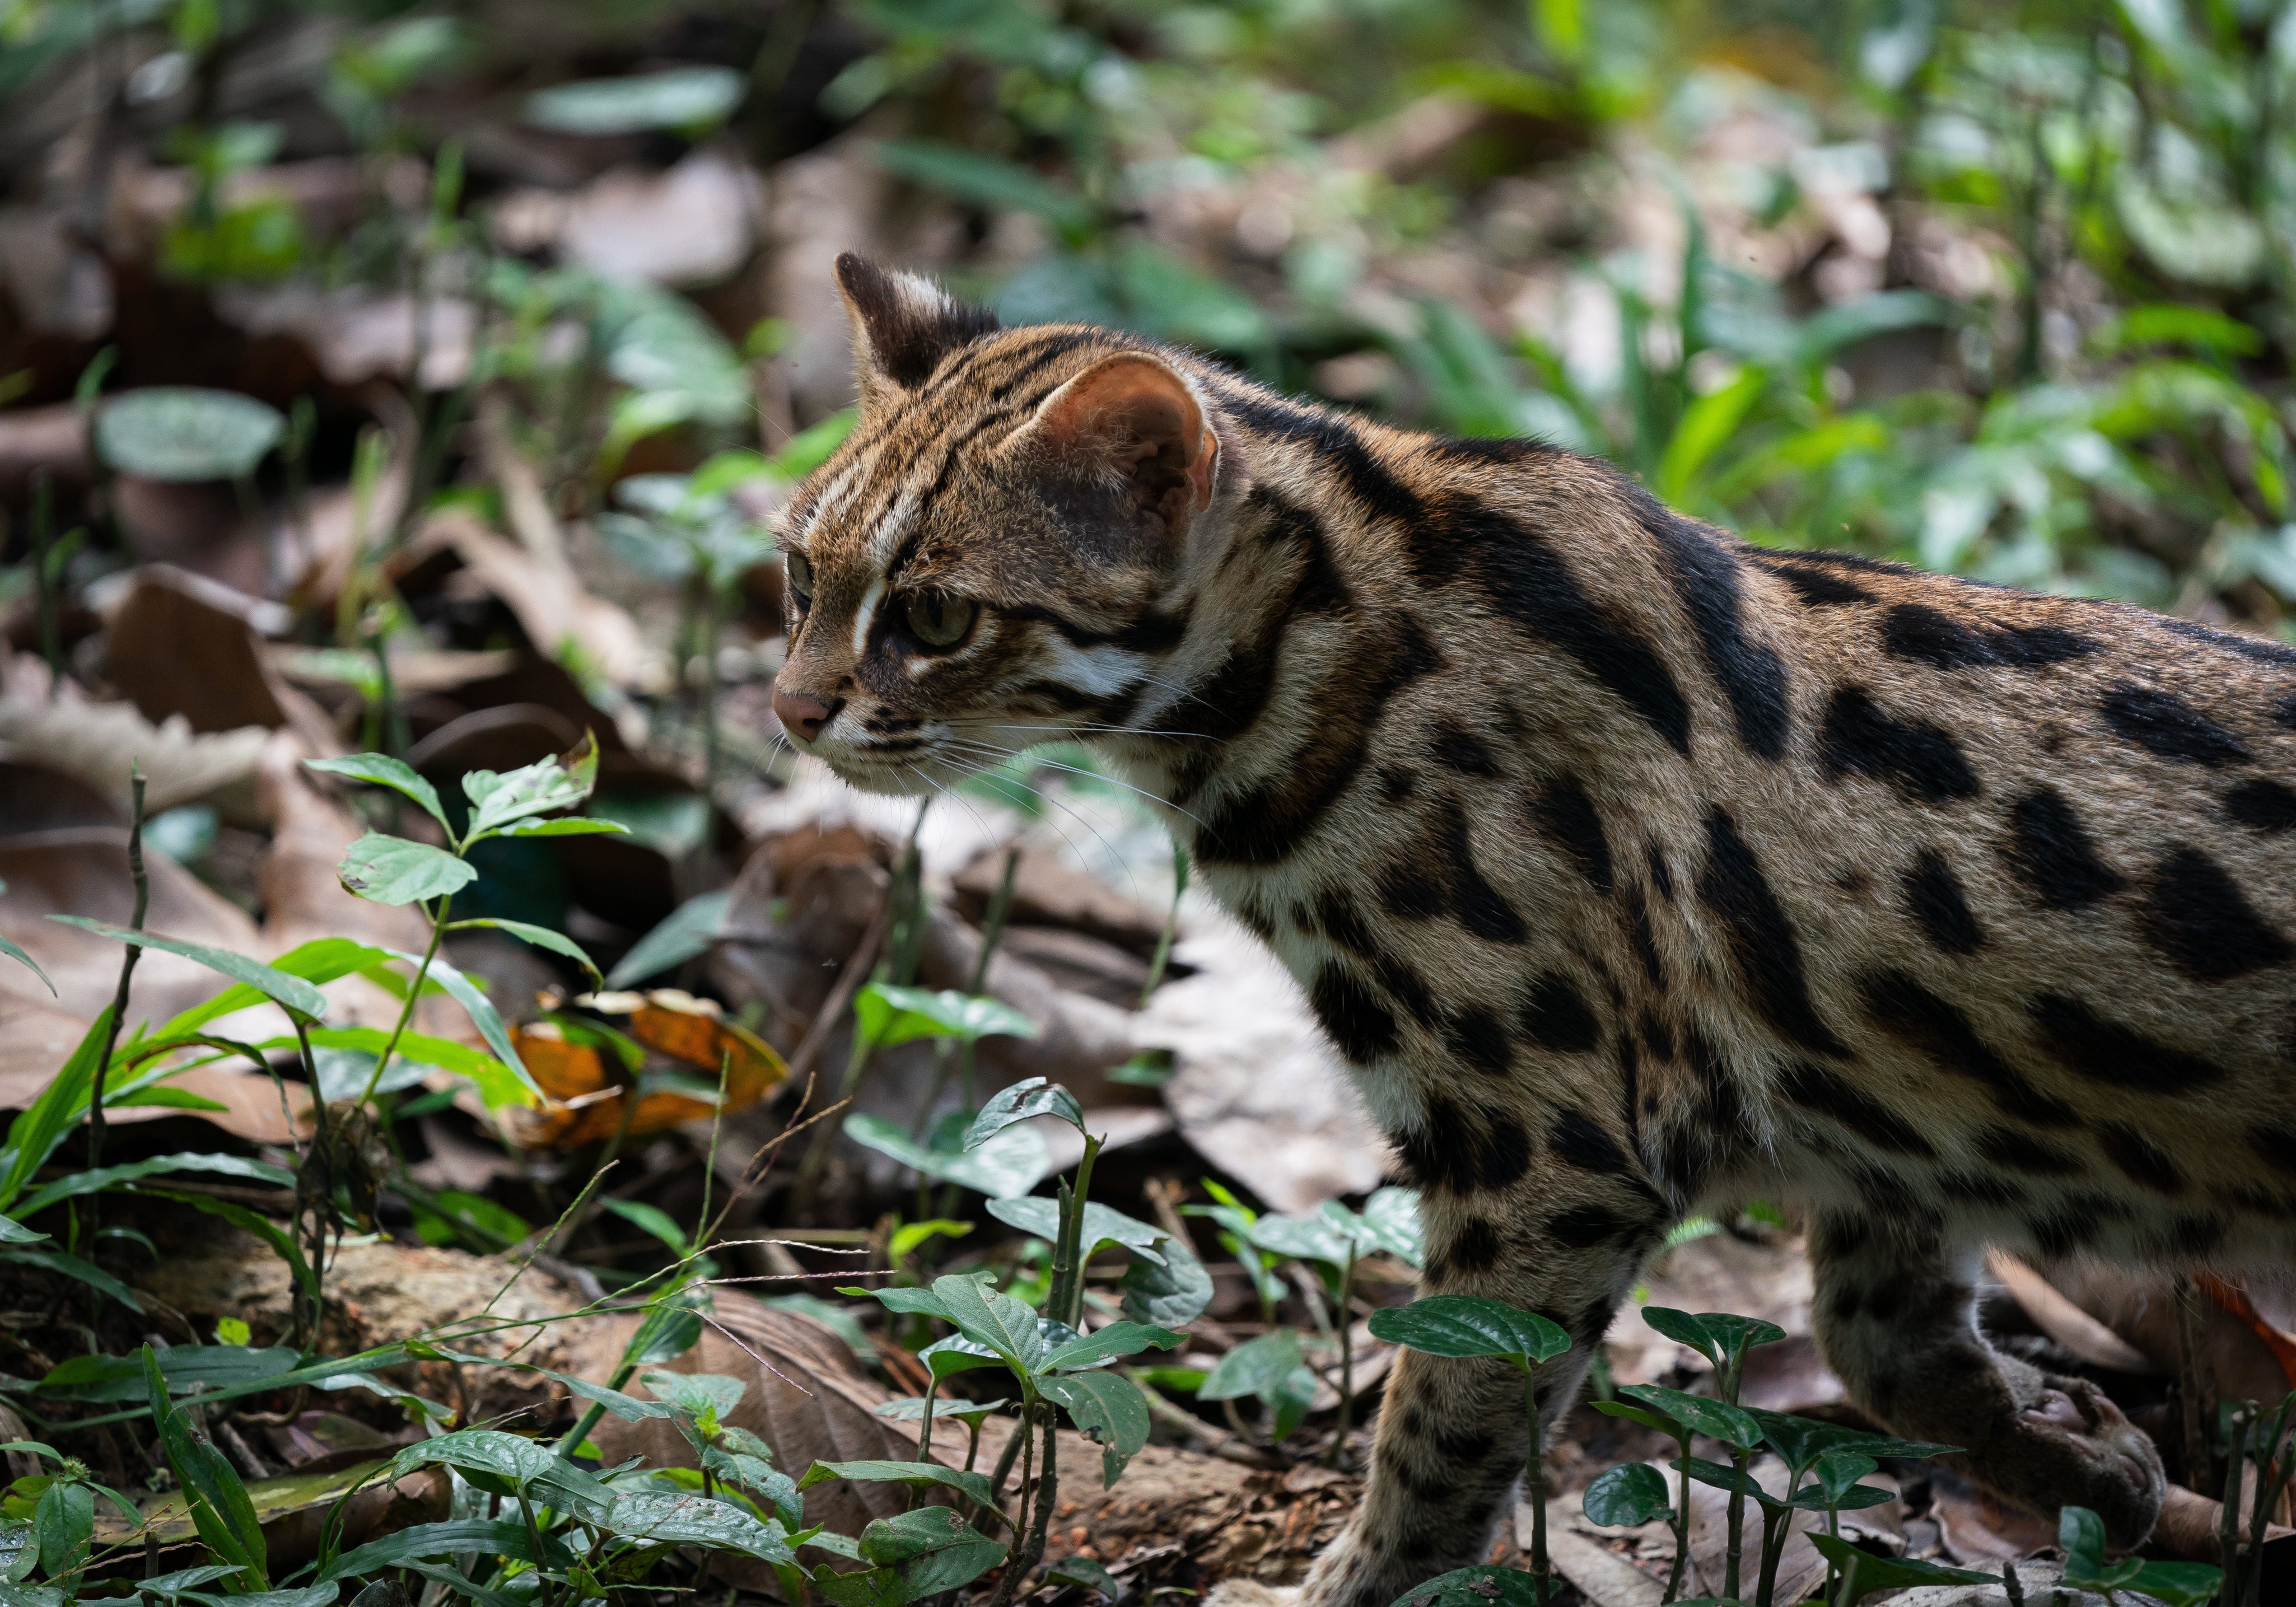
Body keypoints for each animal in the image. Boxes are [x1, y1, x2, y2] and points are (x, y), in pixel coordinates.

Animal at [768, 254, 2296, 1607]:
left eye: (934, 614)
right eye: (797, 574)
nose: (786, 710)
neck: (1315, 648)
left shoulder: (1550, 1152)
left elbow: (1444, 1427)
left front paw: (1342, 1590)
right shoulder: (1885, 1130)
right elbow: (1889, 1345)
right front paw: (2084, 1463)